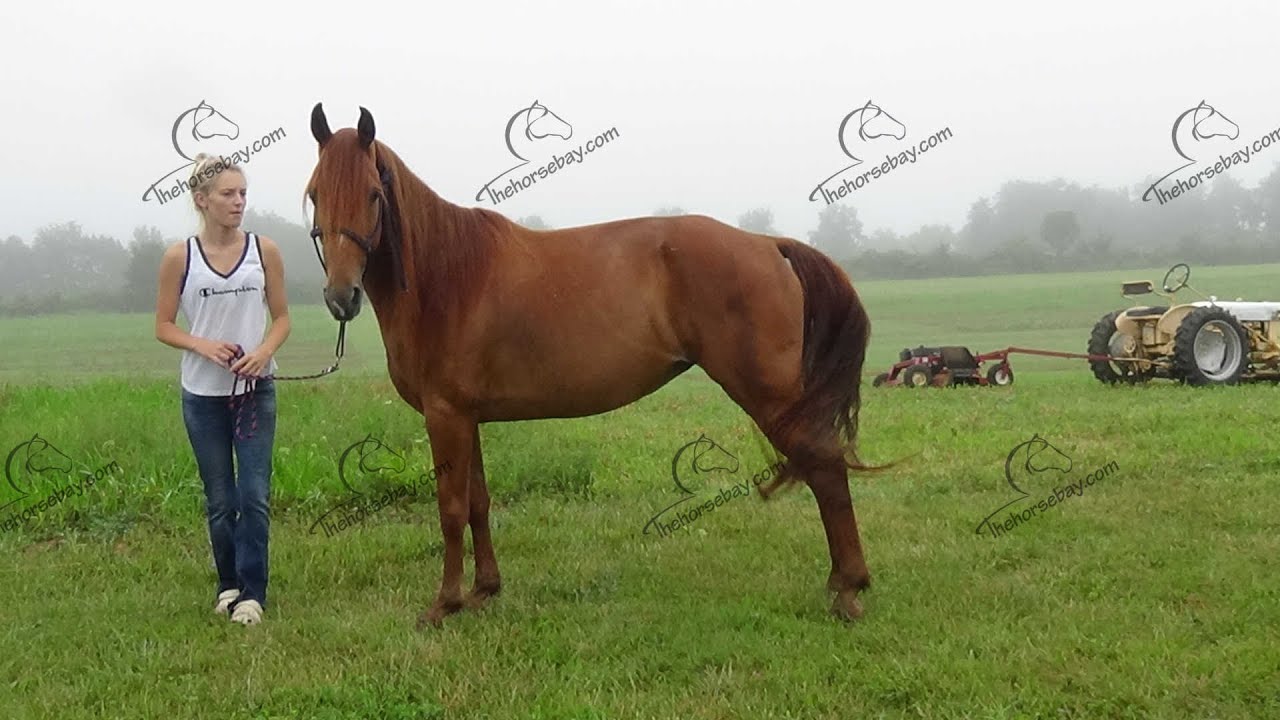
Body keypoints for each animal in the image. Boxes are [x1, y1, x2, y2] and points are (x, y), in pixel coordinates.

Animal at [304, 102, 879, 627]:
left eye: (374, 195)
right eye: (314, 194)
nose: (340, 297)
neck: (446, 278)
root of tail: (768, 244)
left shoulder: (444, 416)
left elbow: (450, 510)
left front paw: (444, 604)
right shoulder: (466, 417)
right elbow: (478, 503)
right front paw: (485, 590)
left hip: (773, 397)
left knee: (827, 469)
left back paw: (848, 590)